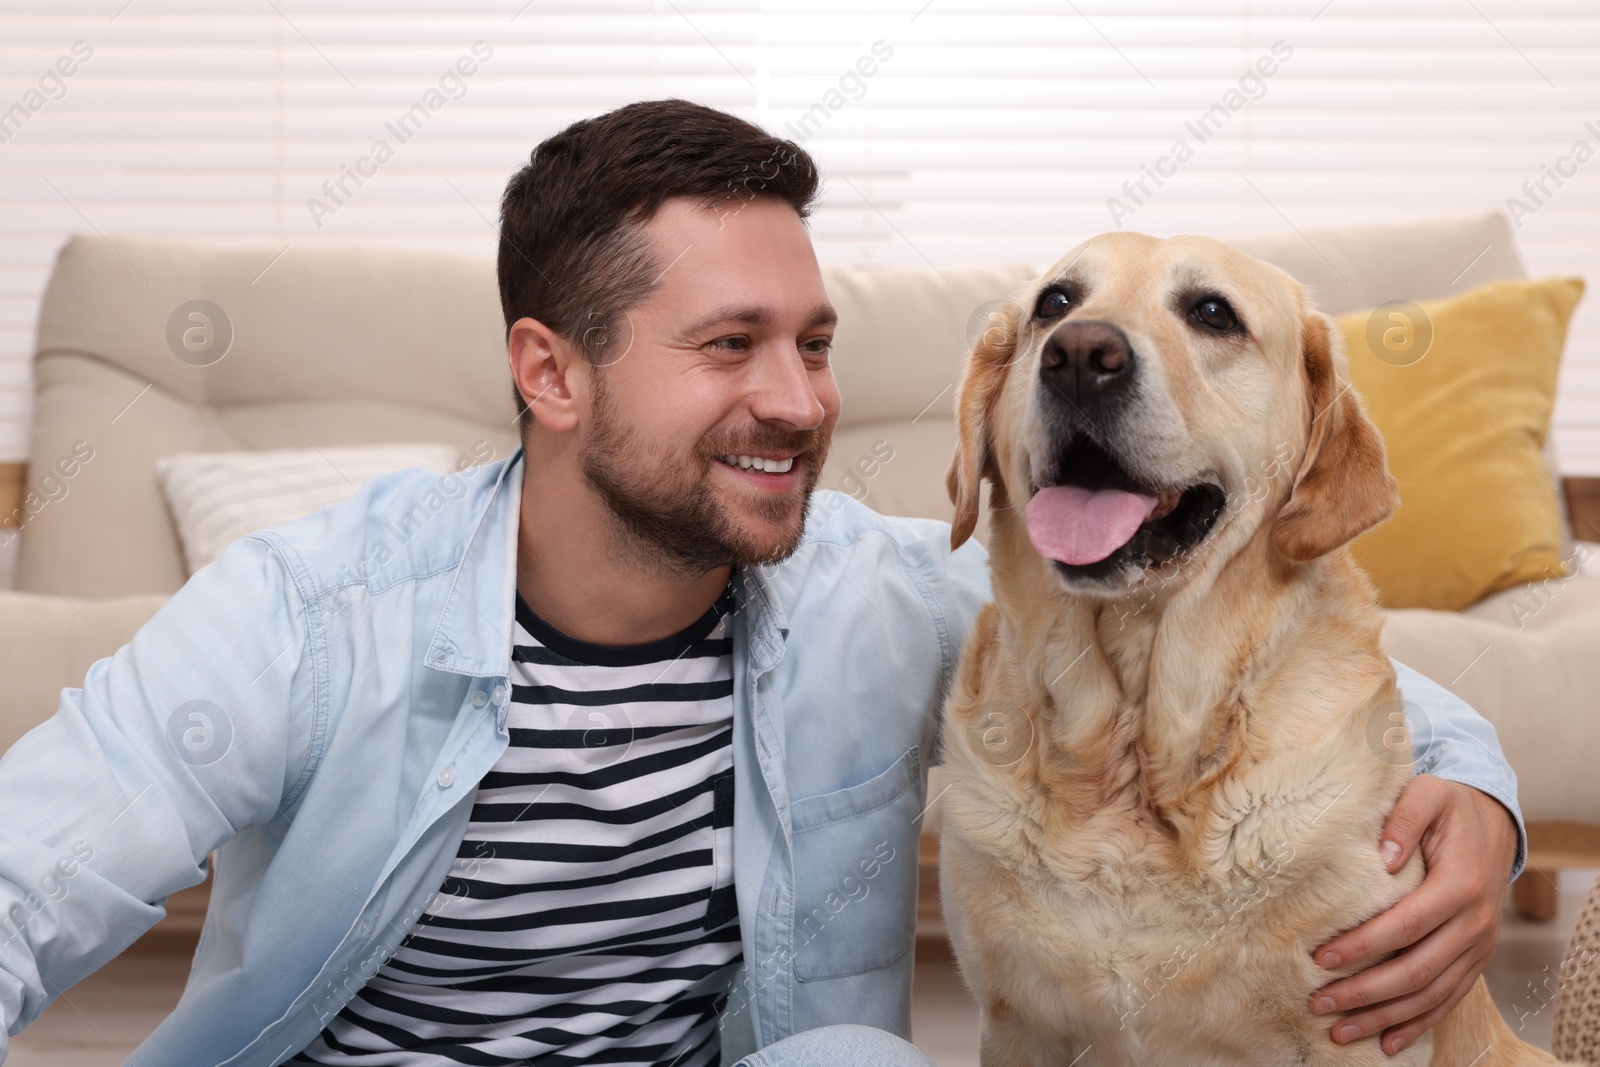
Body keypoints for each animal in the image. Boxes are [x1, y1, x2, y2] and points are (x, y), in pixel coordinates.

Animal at [934, 235, 1568, 1067]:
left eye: (1213, 313)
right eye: (1055, 303)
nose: (1079, 355)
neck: (1134, 759)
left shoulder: (1352, 1031)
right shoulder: (1017, 1026)